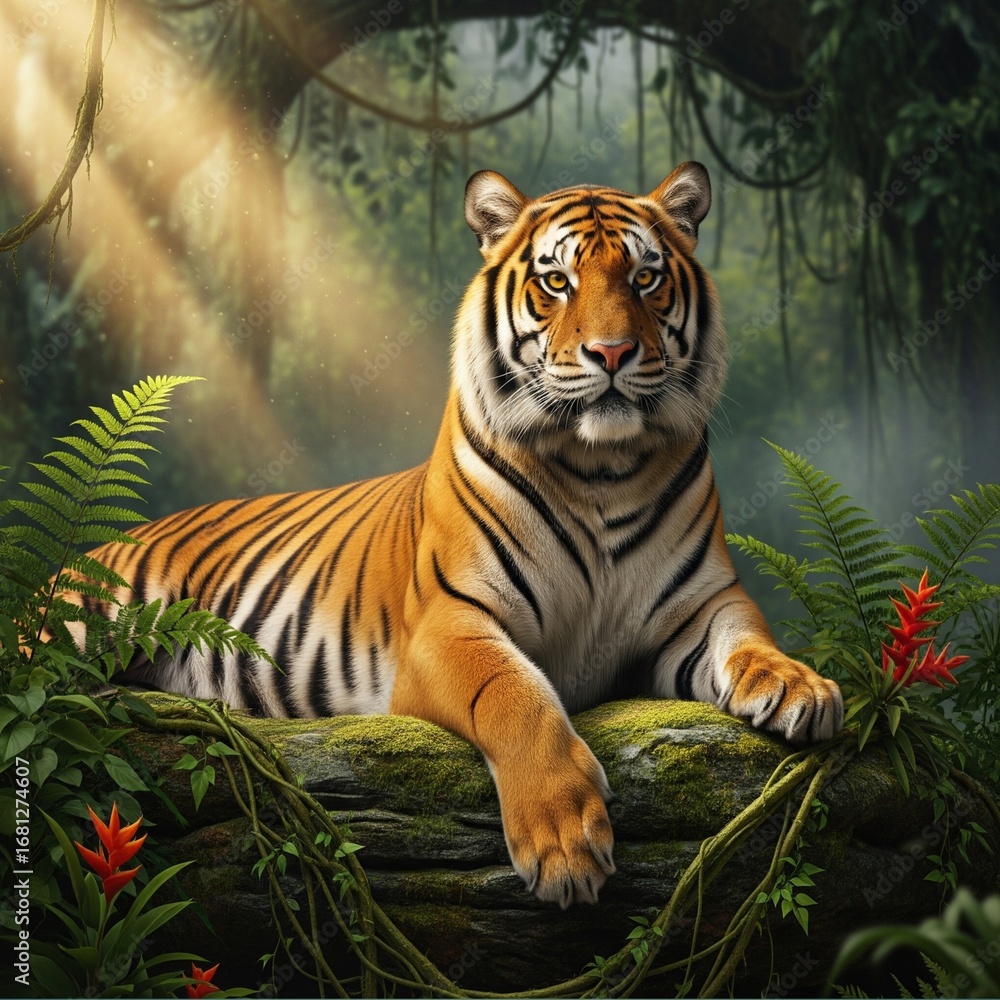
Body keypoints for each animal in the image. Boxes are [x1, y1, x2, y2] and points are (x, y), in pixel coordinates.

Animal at [67, 162, 844, 908]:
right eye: (556, 281)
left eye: (644, 278)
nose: (613, 352)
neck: (602, 469)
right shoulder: (450, 622)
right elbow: (516, 697)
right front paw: (564, 845)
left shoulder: (702, 605)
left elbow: (747, 638)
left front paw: (799, 688)